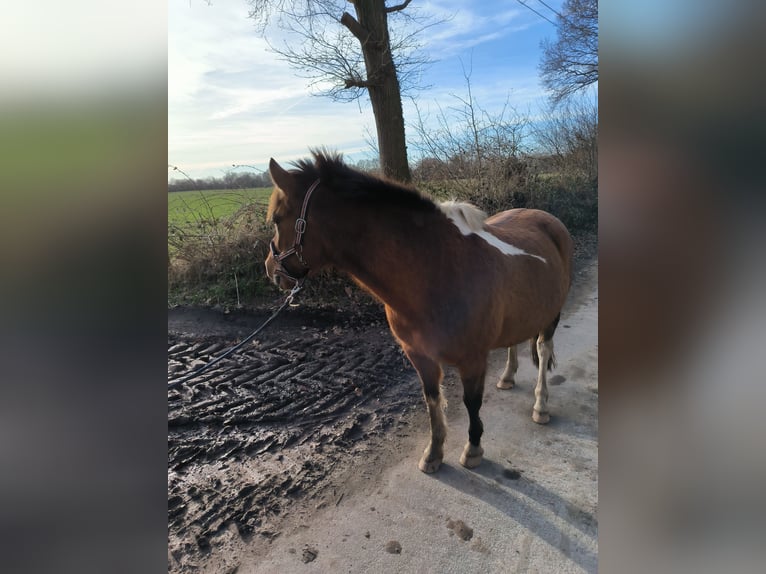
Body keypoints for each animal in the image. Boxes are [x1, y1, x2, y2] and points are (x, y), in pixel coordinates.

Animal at [264, 150, 573, 473]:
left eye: (277, 219)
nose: (270, 269)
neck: (435, 270)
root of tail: (546, 218)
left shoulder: (473, 359)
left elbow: (471, 402)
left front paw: (473, 449)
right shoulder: (419, 355)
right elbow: (432, 401)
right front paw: (433, 453)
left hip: (552, 315)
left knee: (543, 349)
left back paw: (541, 406)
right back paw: (508, 378)